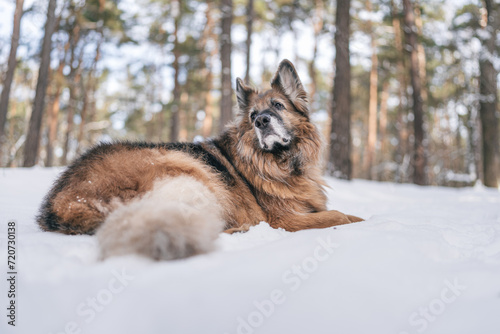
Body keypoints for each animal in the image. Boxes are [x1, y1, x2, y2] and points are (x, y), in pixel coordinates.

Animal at [36, 58, 364, 260]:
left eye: (278, 106)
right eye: (253, 116)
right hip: (189, 168)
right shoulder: (284, 219)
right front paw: (359, 221)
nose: (262, 122)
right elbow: (337, 215)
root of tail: (61, 200)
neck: (279, 162)